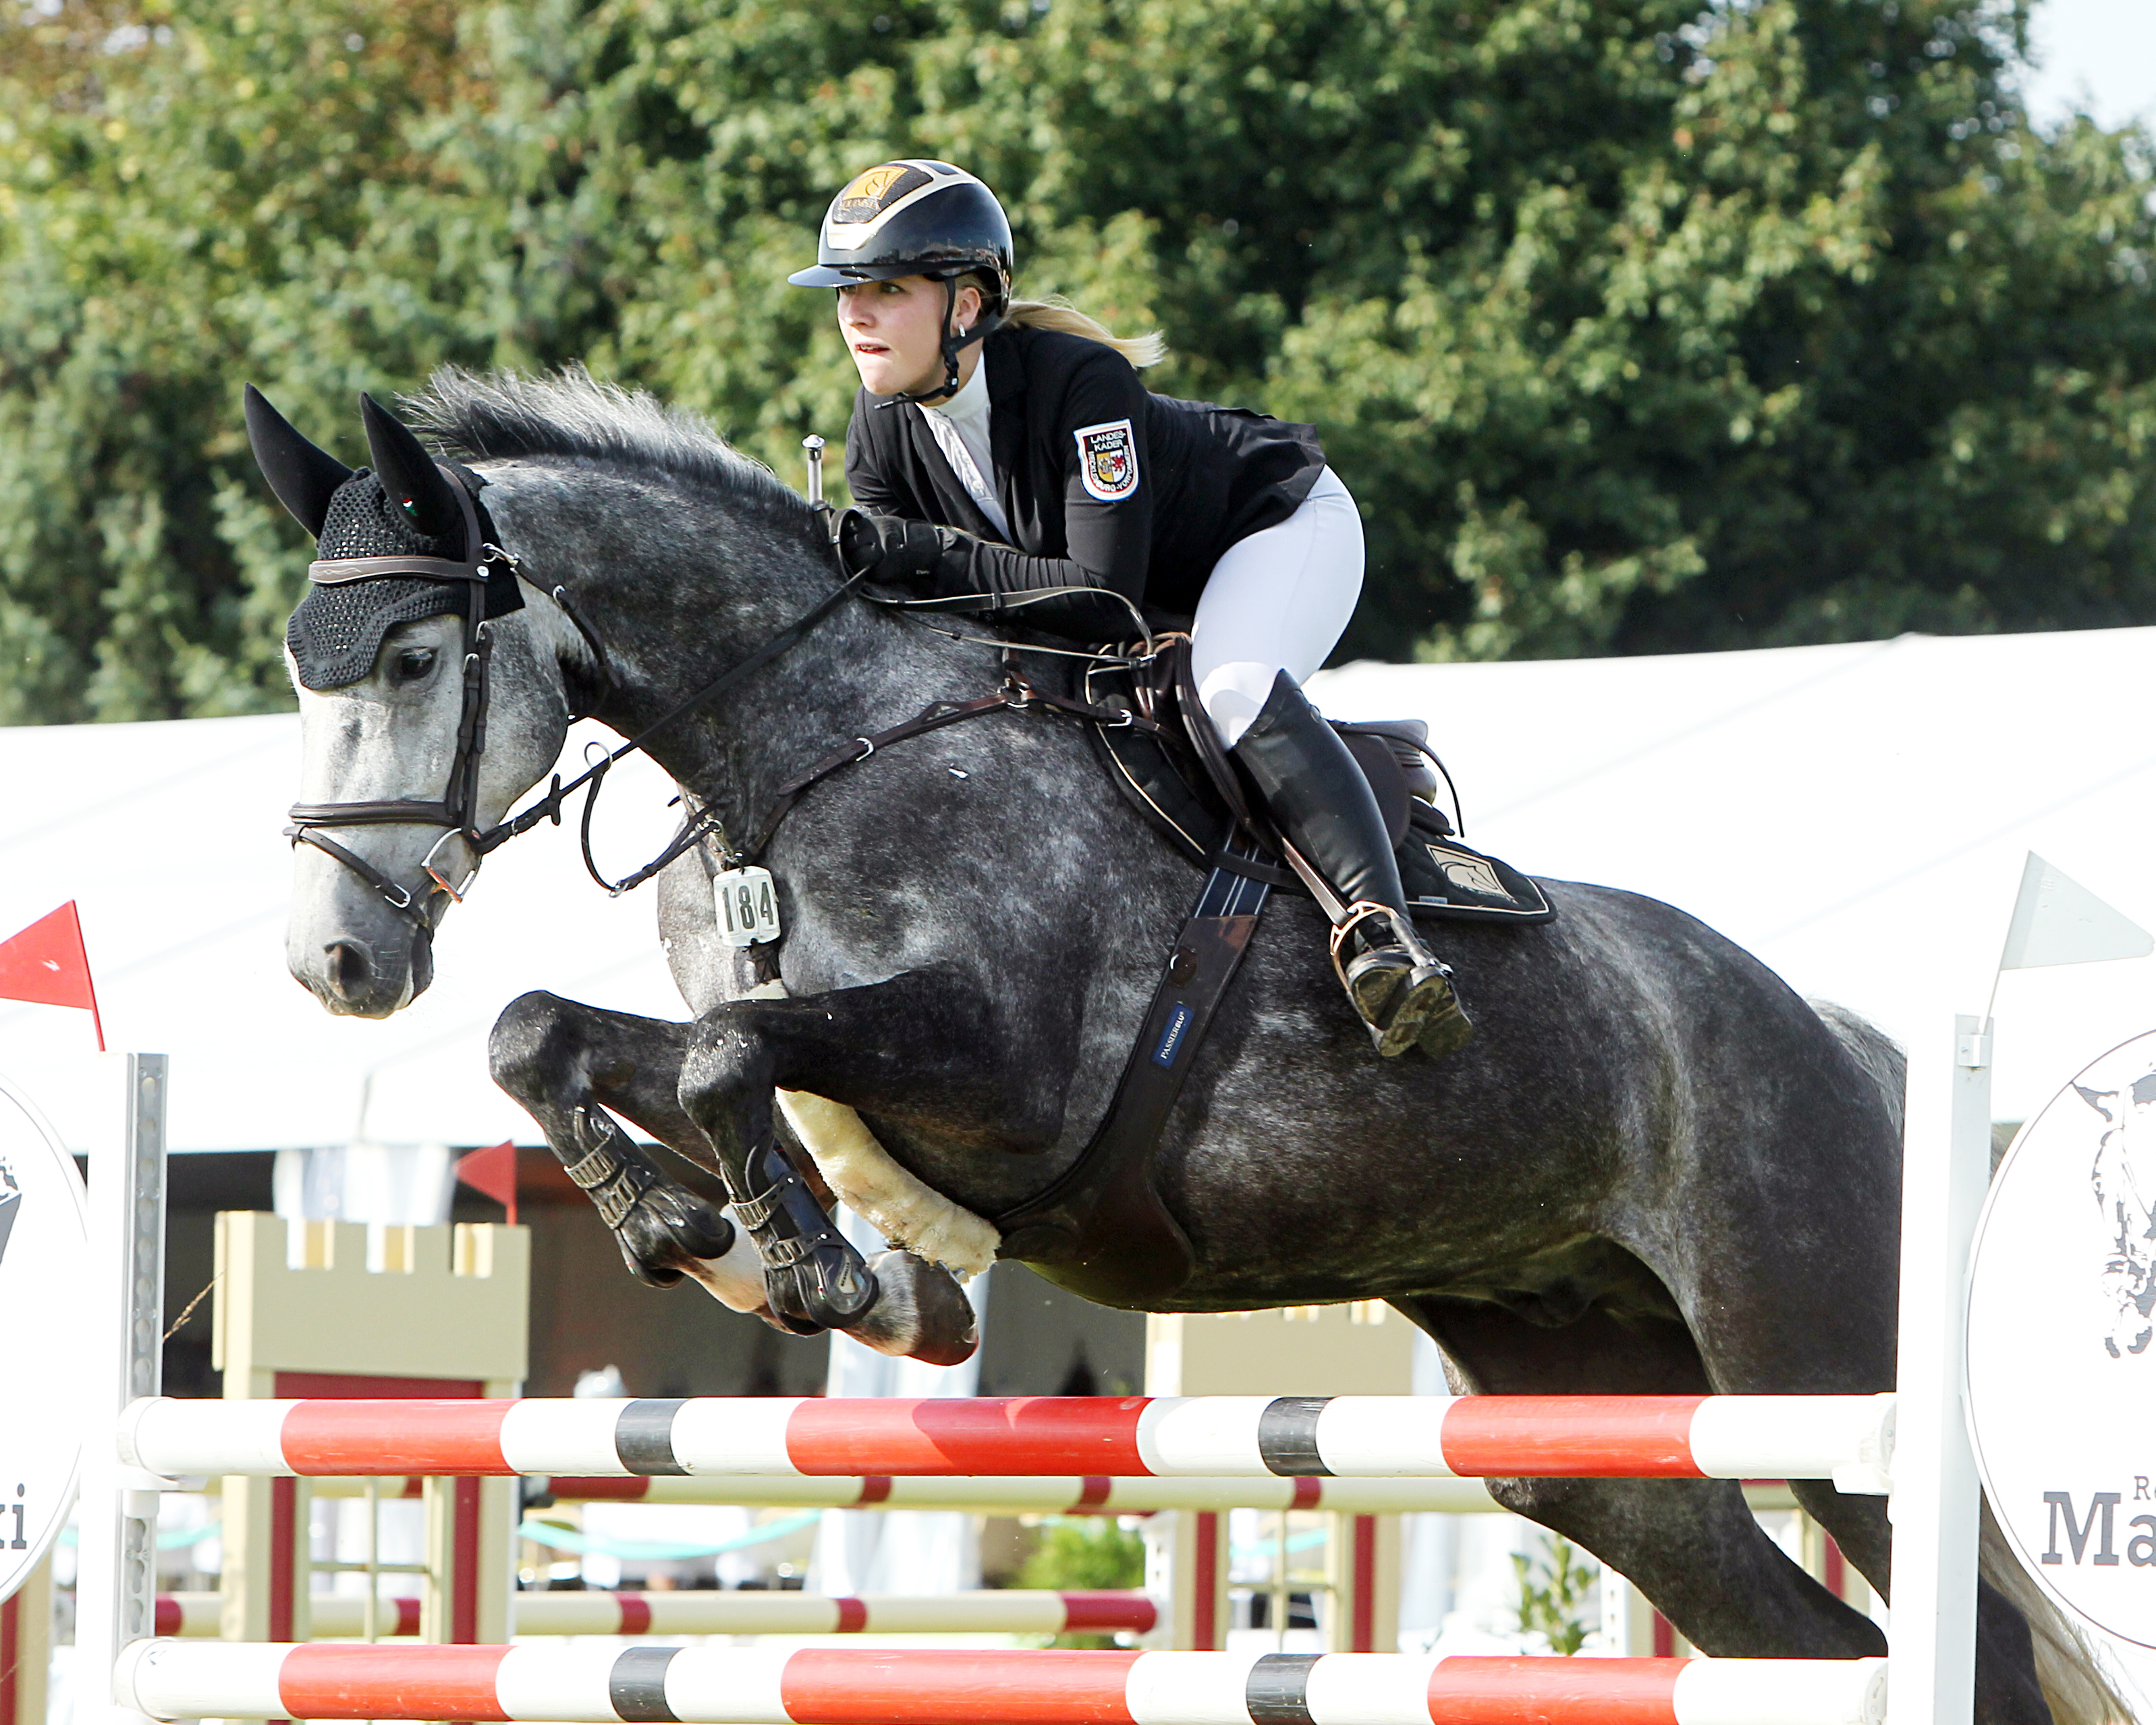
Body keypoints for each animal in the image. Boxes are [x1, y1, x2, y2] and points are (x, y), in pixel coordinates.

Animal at [265, 373, 2104, 1725]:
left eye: (415, 655)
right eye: (301, 670)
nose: (334, 963)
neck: (807, 744)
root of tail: (1861, 1046)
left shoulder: (1000, 1070)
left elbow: (729, 1052)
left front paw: (808, 1260)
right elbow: (559, 1037)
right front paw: (704, 1231)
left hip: (1820, 1363)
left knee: (1976, 1648)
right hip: (1592, 1432)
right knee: (1796, 1637)